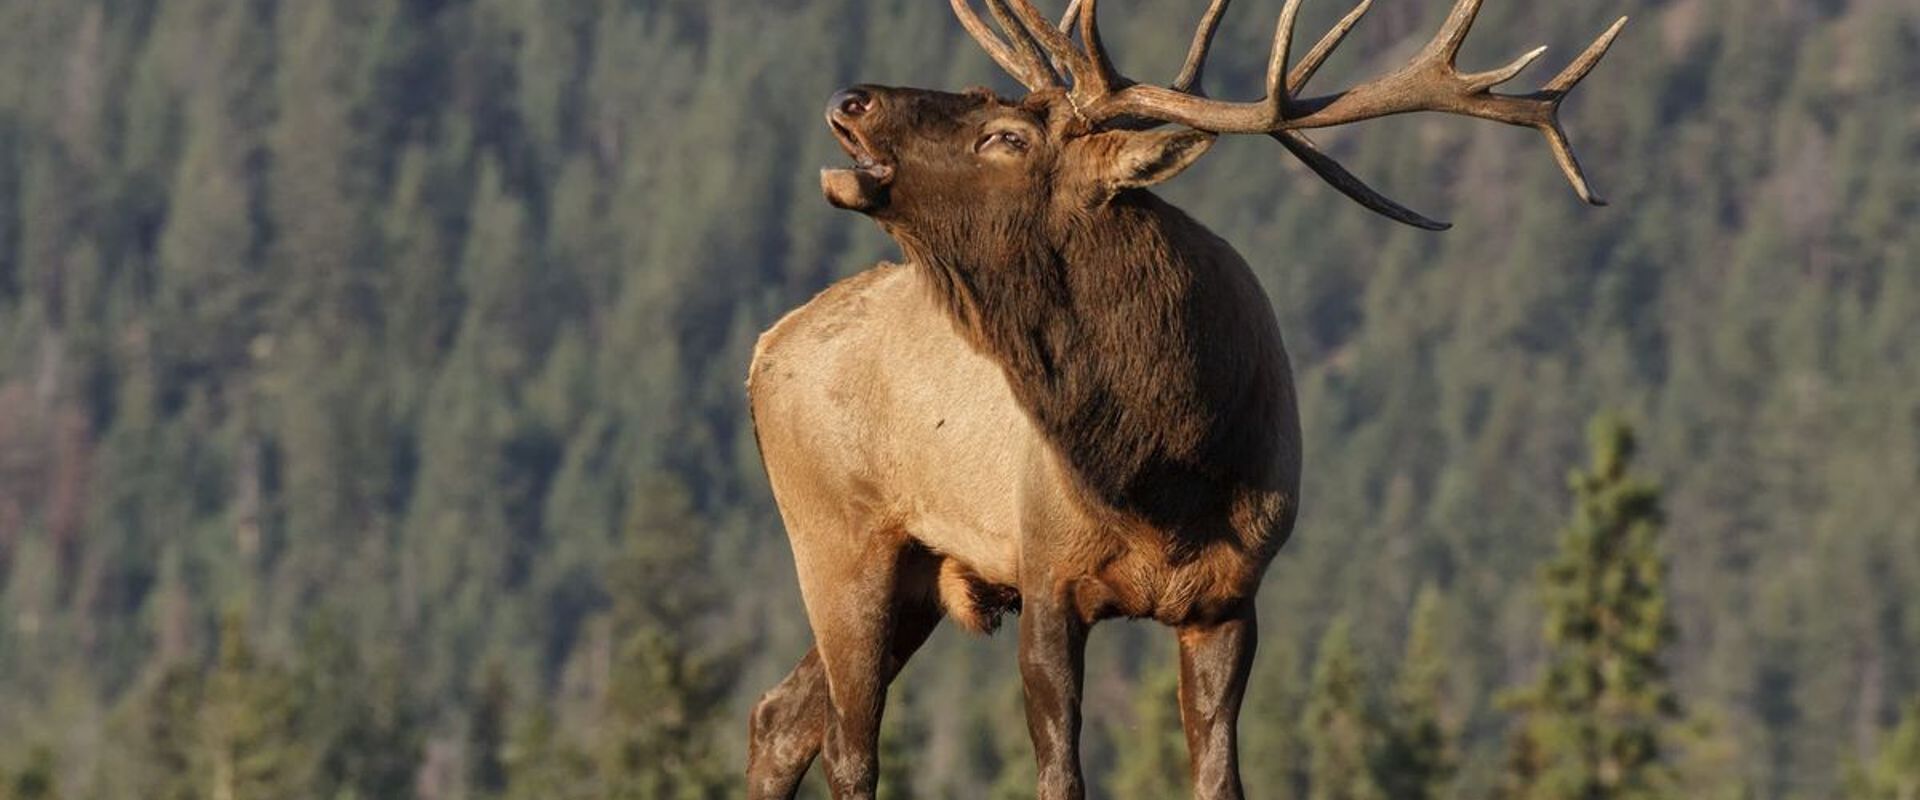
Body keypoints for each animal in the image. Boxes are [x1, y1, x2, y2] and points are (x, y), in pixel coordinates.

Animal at [744, 0, 1624, 797]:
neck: (1162, 472)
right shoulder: (1047, 572)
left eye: (1004, 135)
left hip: (911, 572)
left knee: (785, 719)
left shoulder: (1231, 597)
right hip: (837, 539)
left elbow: (1219, 776)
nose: (851, 98)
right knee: (847, 745)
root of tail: (762, 351)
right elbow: (1059, 775)